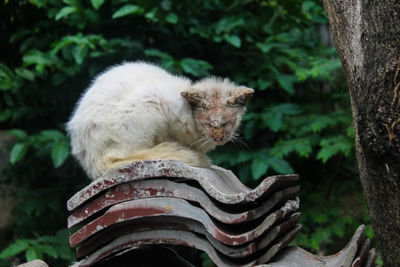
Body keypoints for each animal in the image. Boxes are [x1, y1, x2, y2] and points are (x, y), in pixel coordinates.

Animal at [66, 62, 253, 180]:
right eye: (208, 123)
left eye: (227, 123)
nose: (219, 137)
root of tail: (91, 160)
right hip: (149, 99)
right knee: (127, 156)